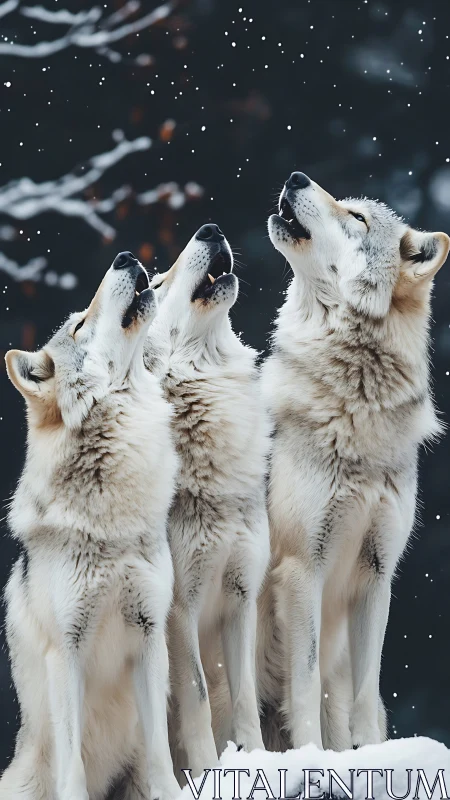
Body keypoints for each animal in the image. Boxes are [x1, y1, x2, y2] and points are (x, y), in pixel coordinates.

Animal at [1, 252, 180, 800]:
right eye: (79, 325)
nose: (125, 256)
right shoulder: (66, 653)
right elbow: (74, 766)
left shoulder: (150, 637)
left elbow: (163, 758)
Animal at [258, 172, 449, 752]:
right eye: (346, 205)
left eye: (358, 217)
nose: (295, 177)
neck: (353, 405)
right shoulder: (302, 569)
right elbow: (304, 683)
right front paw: (311, 757)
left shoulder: (376, 575)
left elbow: (366, 687)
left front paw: (369, 753)